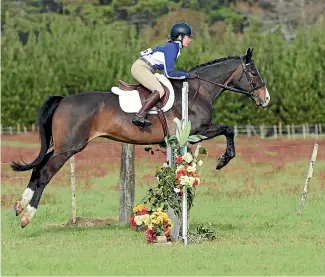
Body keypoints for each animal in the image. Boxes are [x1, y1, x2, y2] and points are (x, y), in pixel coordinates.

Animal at [10, 47, 268, 227]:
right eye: (254, 72)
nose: (265, 99)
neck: (199, 90)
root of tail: (64, 99)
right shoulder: (197, 130)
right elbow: (228, 129)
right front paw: (223, 160)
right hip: (69, 148)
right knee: (45, 173)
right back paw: (27, 216)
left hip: (63, 146)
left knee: (38, 168)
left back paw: (19, 205)